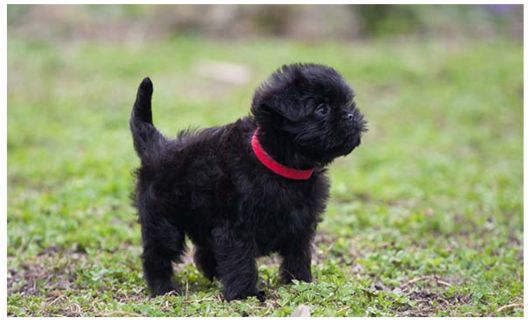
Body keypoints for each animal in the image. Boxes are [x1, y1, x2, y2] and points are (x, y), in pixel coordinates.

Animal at [130, 63, 366, 302]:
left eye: (347, 103)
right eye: (322, 109)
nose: (350, 115)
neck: (280, 166)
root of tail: (157, 146)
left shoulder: (301, 223)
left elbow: (298, 255)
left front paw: (300, 282)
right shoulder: (236, 228)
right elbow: (240, 261)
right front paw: (245, 294)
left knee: (203, 253)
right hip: (163, 221)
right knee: (157, 255)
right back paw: (163, 288)